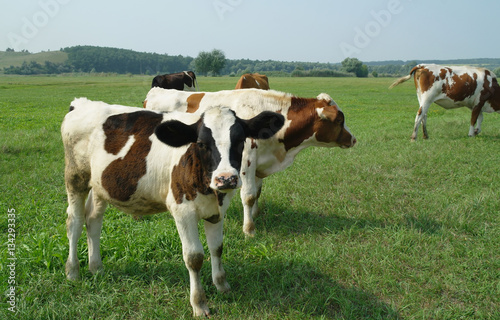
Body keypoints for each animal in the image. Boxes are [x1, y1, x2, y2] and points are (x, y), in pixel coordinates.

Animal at [60, 98, 284, 318]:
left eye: (240, 141)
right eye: (201, 143)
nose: (226, 178)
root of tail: (81, 103)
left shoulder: (217, 211)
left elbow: (217, 248)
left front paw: (222, 285)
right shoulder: (182, 211)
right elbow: (194, 257)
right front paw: (199, 303)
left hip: (101, 186)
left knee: (93, 220)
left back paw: (96, 267)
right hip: (76, 178)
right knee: (75, 222)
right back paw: (73, 271)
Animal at [143, 87, 358, 235]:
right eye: (340, 121)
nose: (353, 139)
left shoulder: (260, 164)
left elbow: (257, 193)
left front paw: (254, 215)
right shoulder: (246, 161)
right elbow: (248, 195)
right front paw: (249, 229)